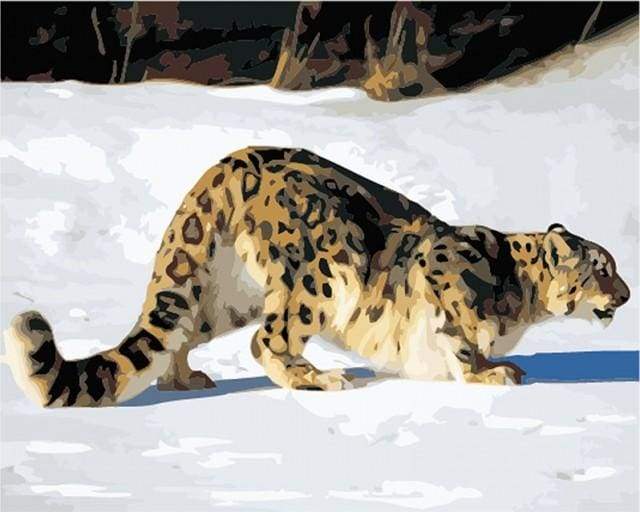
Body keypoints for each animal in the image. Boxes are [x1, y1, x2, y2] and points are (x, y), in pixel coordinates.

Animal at [3, 146, 631, 407]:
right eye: (602, 268)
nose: (626, 295)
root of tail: (227, 164)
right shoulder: (446, 274)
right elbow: (461, 337)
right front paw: (492, 372)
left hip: (227, 295)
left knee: (180, 329)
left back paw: (186, 380)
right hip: (328, 267)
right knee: (269, 339)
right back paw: (320, 378)